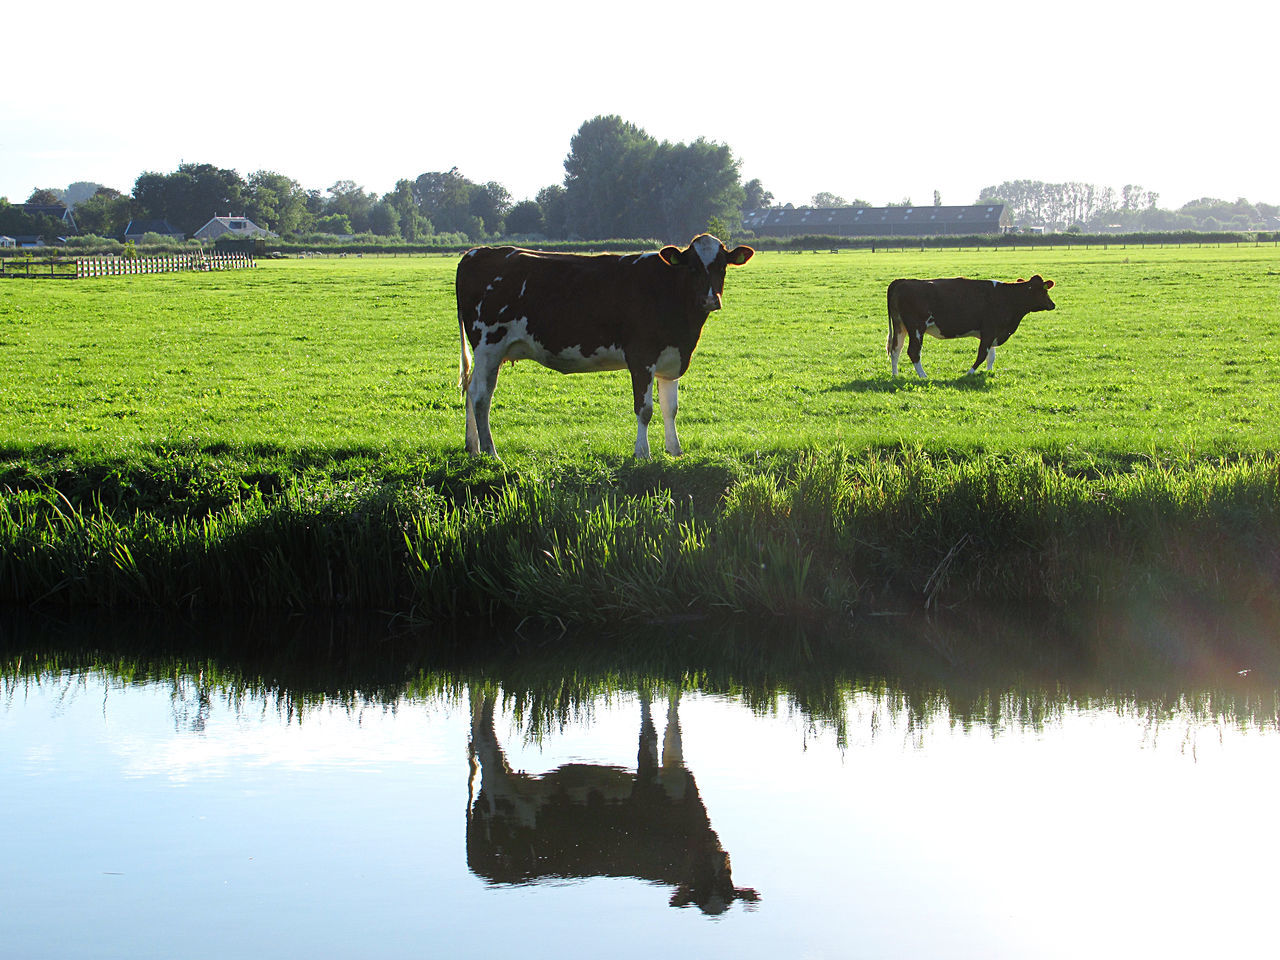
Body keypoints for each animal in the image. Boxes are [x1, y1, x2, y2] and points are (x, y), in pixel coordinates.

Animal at [458, 232, 747, 458]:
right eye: (693, 267)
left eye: (722, 267)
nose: (710, 300)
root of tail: (477, 252)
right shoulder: (641, 357)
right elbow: (645, 409)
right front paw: (642, 453)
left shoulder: (672, 358)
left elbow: (670, 408)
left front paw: (674, 451)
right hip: (489, 345)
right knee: (482, 396)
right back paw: (491, 452)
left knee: (471, 390)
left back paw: (473, 448)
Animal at [885, 273, 1054, 378]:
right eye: (1043, 290)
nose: (1052, 304)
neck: (1007, 296)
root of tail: (902, 281)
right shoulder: (989, 330)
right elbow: (982, 355)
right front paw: (969, 373)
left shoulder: (993, 332)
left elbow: (991, 356)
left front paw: (988, 373)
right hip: (917, 328)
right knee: (913, 352)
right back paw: (923, 376)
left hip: (900, 326)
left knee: (896, 349)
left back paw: (895, 374)